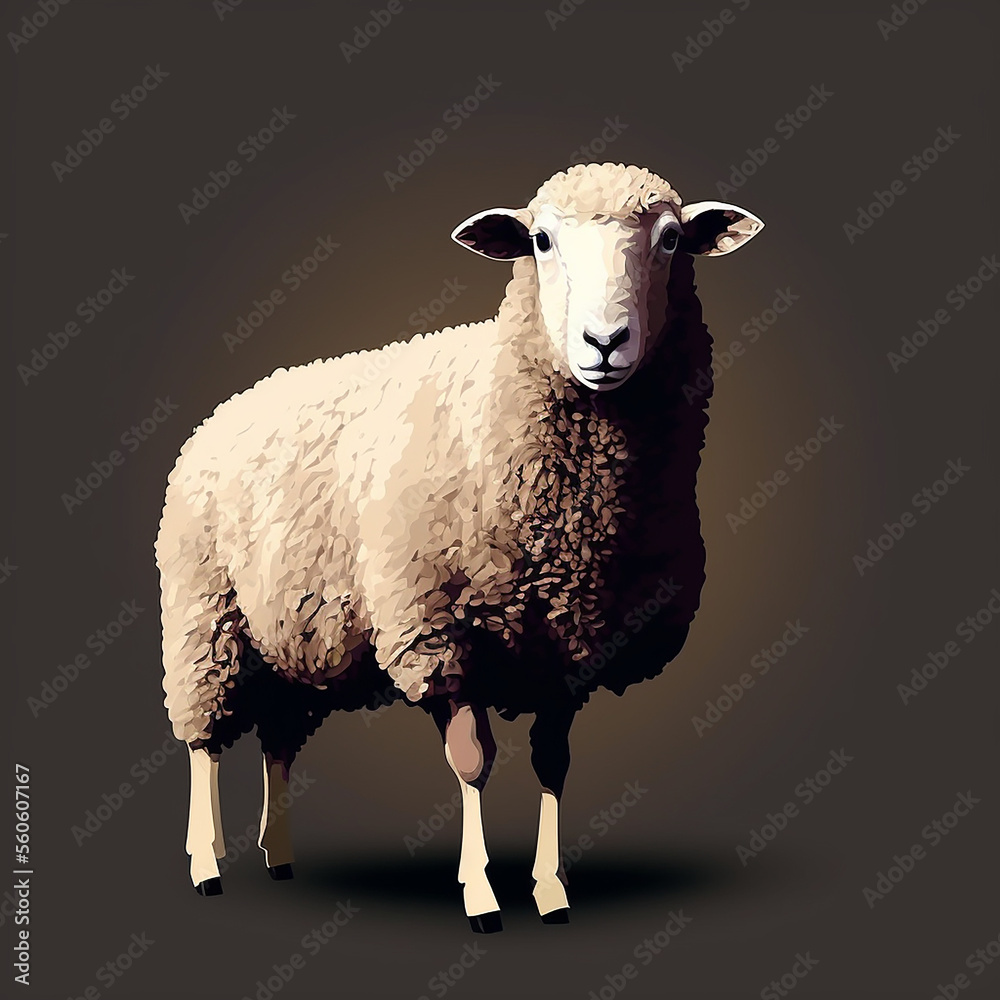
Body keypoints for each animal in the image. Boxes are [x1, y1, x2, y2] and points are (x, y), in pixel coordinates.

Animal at [157, 161, 763, 932]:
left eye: (672, 240)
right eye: (540, 241)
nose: (605, 342)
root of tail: (231, 404)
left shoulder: (568, 648)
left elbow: (552, 764)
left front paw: (551, 891)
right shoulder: (437, 631)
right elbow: (474, 764)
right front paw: (481, 896)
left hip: (290, 637)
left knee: (279, 739)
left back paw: (281, 856)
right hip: (204, 617)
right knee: (203, 742)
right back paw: (206, 865)